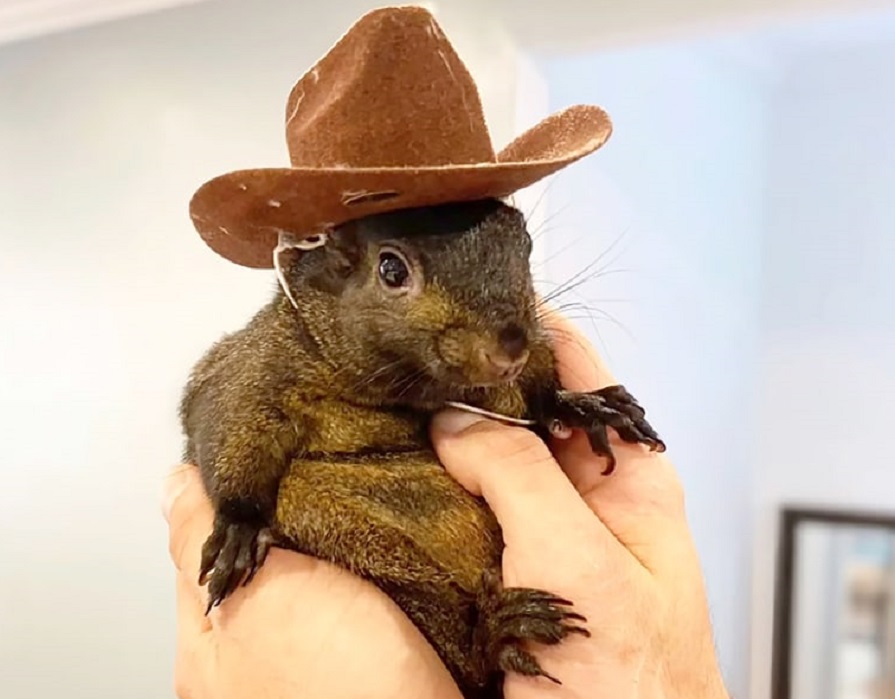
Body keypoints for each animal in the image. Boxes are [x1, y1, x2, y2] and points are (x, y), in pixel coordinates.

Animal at [178, 197, 665, 698]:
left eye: (525, 243)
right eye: (391, 269)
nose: (510, 348)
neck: (411, 391)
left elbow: (539, 392)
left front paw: (583, 406)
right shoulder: (252, 369)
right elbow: (229, 425)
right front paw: (239, 527)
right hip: (376, 558)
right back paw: (493, 635)